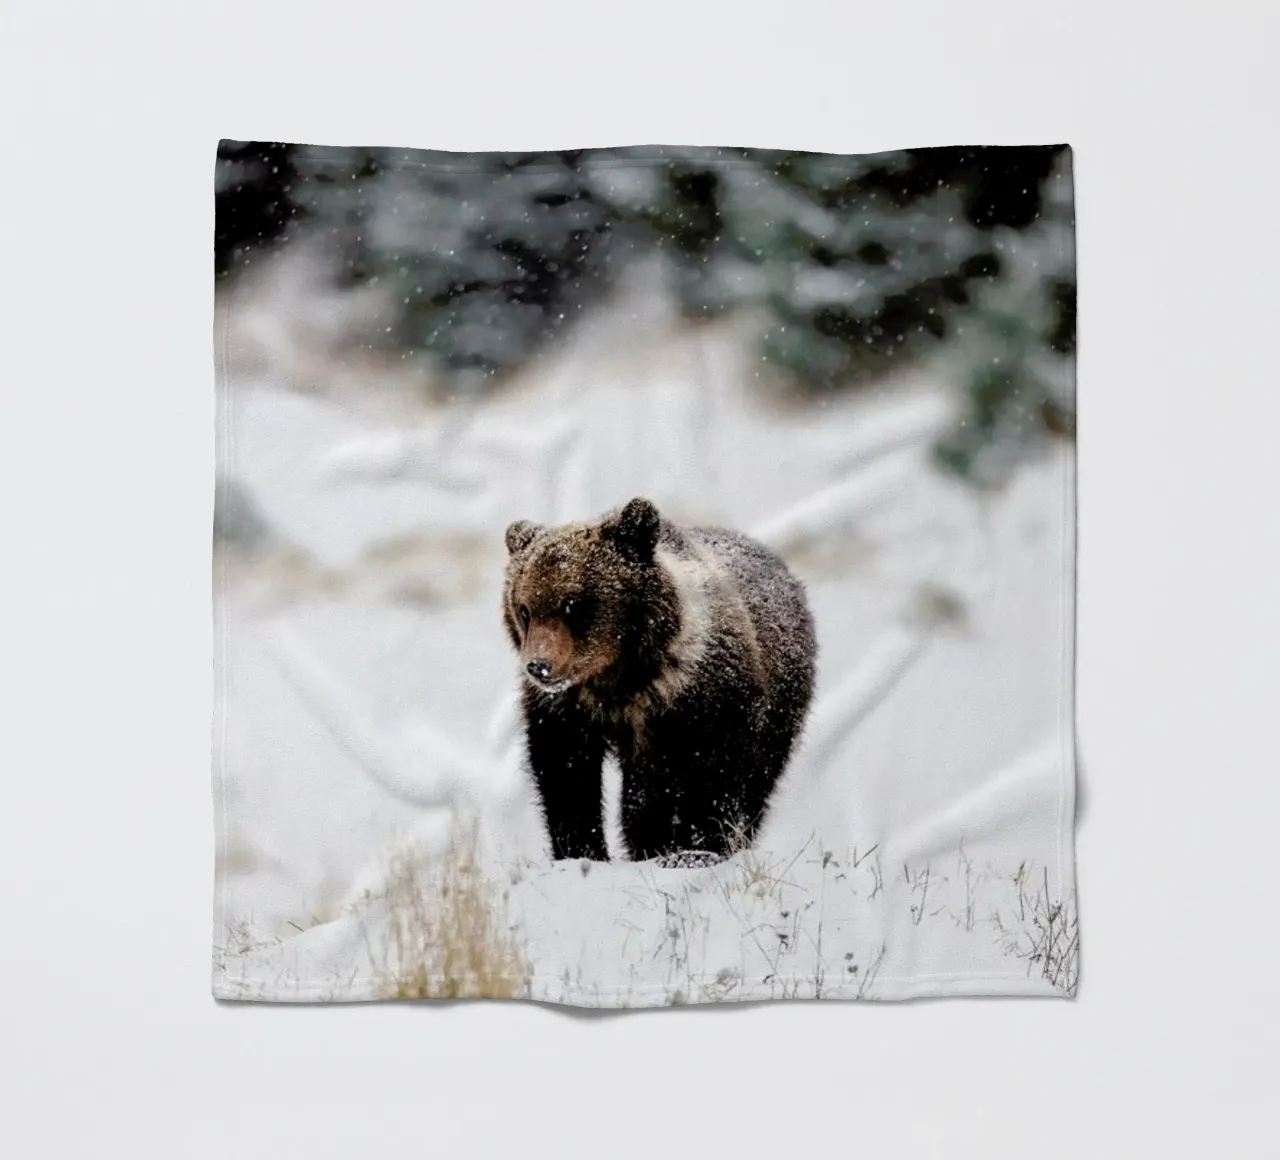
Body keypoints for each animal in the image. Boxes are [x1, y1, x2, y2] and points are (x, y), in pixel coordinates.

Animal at [502, 496, 816, 864]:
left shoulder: (705, 698)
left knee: (758, 782)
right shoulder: (568, 710)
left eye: (572, 604)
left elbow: (715, 775)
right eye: (525, 609)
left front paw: (698, 847)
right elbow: (566, 777)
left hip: (782, 709)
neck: (620, 680)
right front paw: (582, 851)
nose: (539, 666)